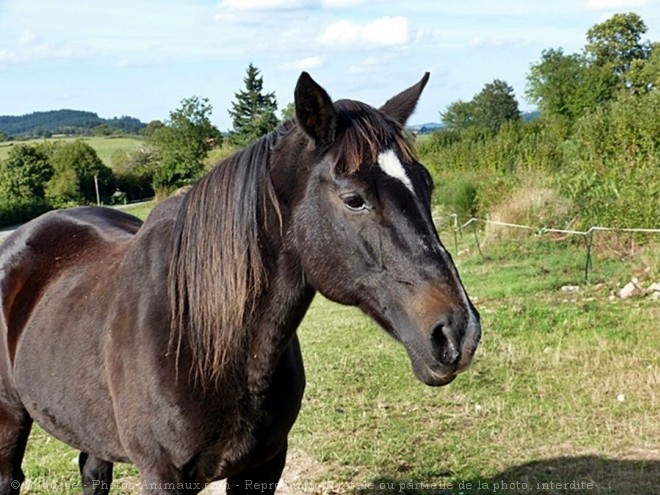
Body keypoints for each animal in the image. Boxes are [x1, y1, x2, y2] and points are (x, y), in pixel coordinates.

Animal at [0, 71, 476, 494]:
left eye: (427, 185)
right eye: (354, 199)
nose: (459, 332)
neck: (201, 335)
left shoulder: (264, 465)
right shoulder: (162, 475)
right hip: (9, 420)